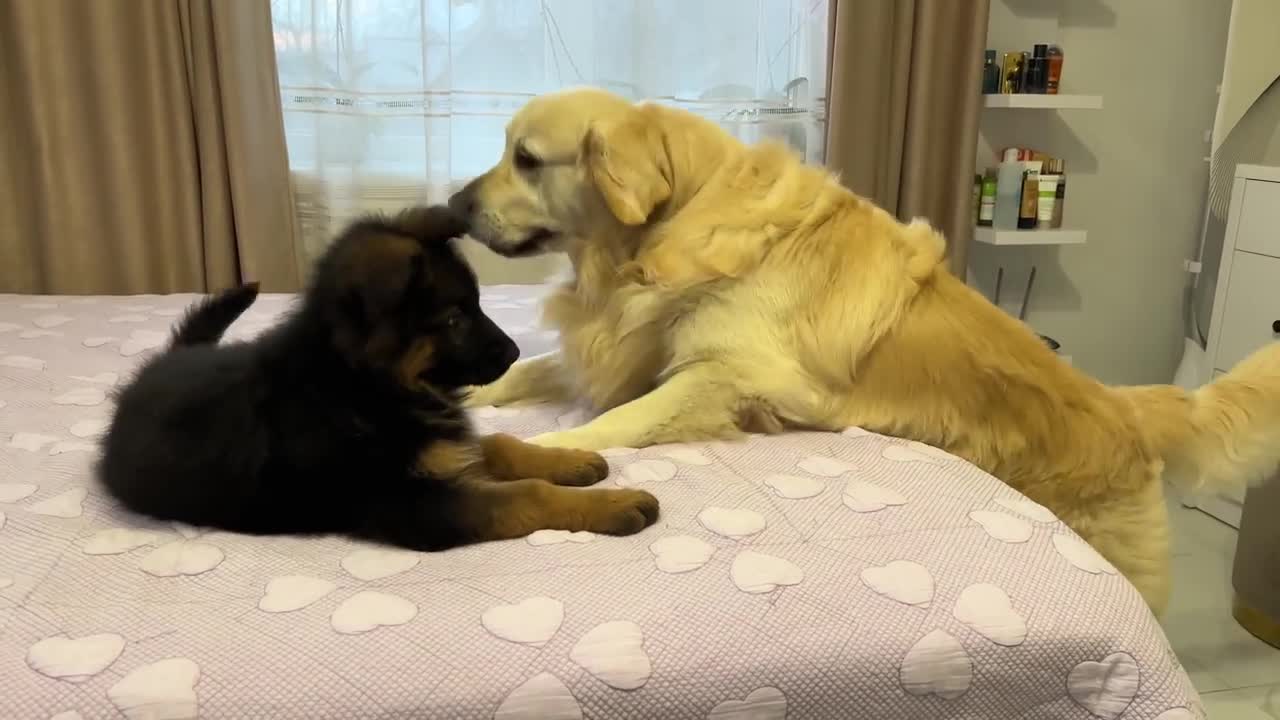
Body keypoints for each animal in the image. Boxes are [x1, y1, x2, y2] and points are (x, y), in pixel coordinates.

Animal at [97, 204, 660, 545]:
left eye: (477, 305)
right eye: (453, 319)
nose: (516, 350)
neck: (359, 386)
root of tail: (152, 371)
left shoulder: (445, 447)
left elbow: (498, 444)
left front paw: (569, 459)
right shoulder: (411, 504)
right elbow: (526, 495)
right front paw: (613, 503)